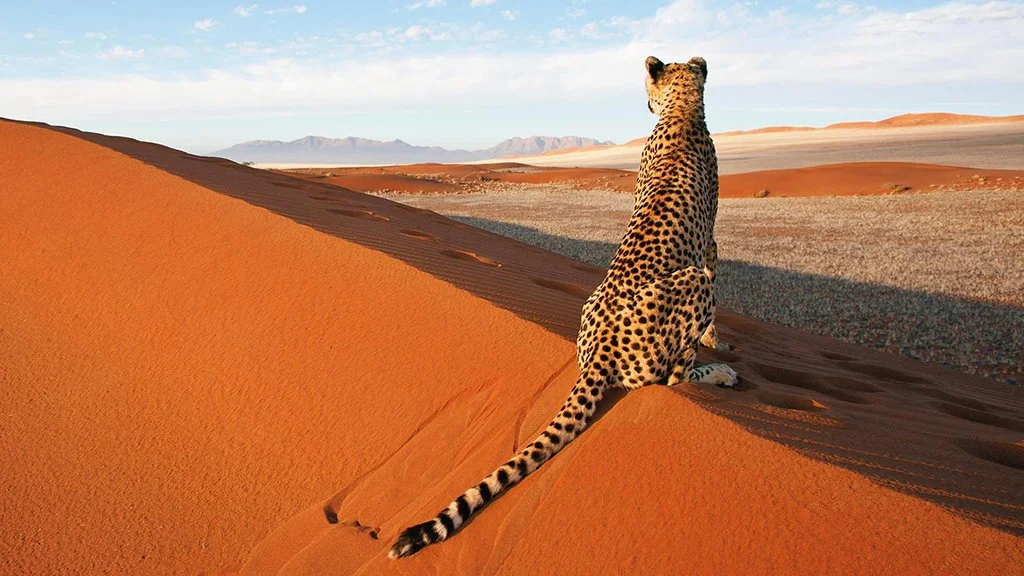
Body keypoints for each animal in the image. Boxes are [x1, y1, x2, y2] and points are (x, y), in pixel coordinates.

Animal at [389, 55, 737, 559]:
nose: (643, 104)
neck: (683, 112)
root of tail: (603, 348)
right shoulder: (708, 246)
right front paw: (720, 346)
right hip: (692, 286)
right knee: (670, 378)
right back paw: (719, 375)